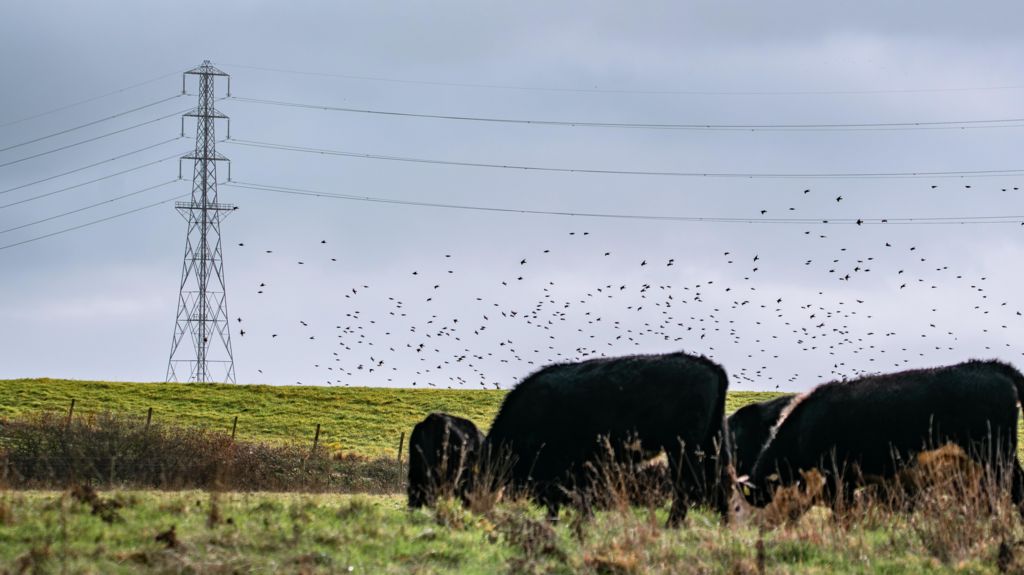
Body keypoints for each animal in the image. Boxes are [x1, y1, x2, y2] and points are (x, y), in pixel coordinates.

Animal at [482, 351, 733, 527]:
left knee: (687, 486)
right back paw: (725, 526)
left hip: (683, 449)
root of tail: (710, 367)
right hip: (711, 443)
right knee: (720, 481)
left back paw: (672, 525)